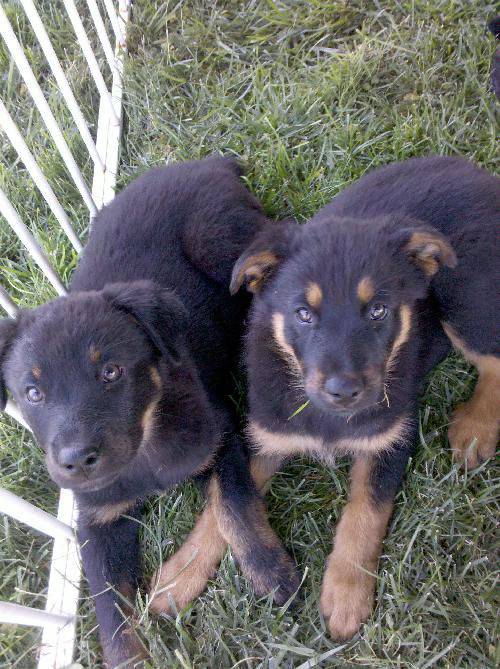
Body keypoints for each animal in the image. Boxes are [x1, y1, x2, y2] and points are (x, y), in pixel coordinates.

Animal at [0, 158, 296, 668]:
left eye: (111, 372)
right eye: (32, 393)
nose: (76, 461)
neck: (144, 451)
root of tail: (206, 162)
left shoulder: (219, 438)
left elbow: (235, 507)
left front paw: (271, 573)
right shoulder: (95, 520)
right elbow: (108, 606)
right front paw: (130, 656)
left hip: (220, 241)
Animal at [162, 155, 498, 636]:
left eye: (378, 310)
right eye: (303, 314)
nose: (344, 392)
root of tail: (480, 177)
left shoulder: (390, 438)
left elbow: (365, 513)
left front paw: (345, 595)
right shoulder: (265, 436)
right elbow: (226, 506)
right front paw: (179, 576)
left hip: (463, 294)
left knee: (493, 359)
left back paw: (475, 429)